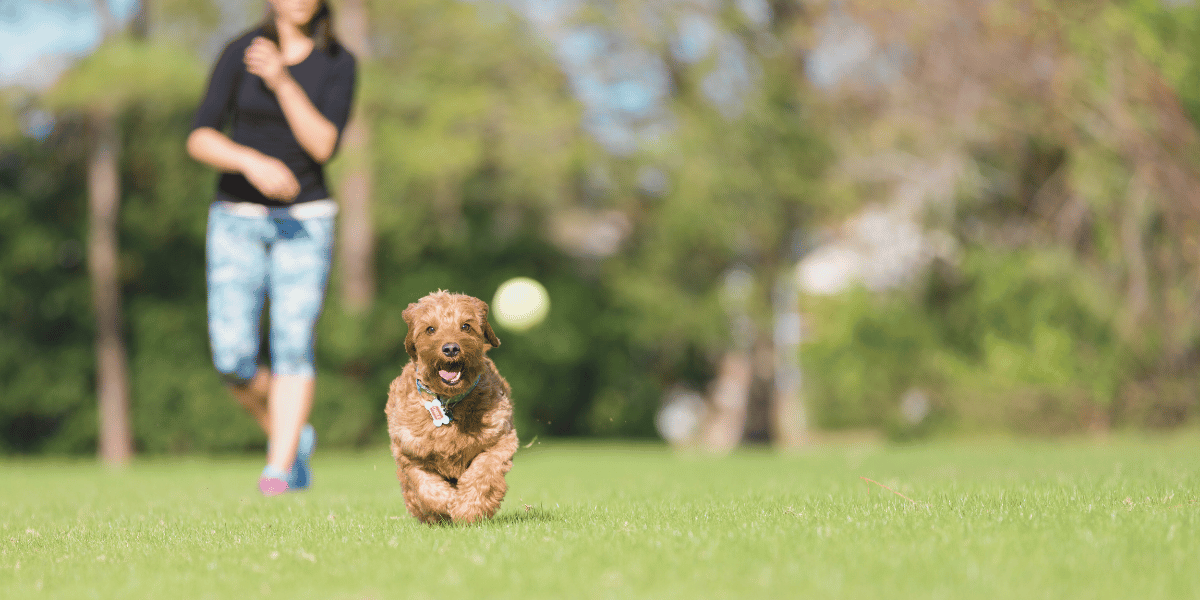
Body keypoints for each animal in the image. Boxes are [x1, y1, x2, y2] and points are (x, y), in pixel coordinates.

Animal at [384, 288, 516, 523]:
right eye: (430, 329)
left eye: (466, 326)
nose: (451, 348)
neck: (448, 402)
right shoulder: (409, 453)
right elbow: (427, 488)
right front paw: (448, 503)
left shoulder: (501, 441)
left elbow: (482, 473)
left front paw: (467, 509)